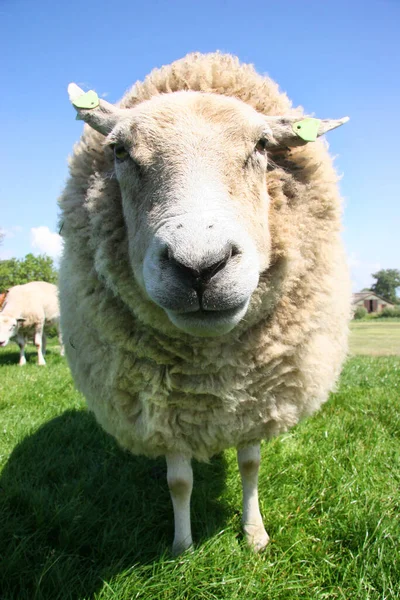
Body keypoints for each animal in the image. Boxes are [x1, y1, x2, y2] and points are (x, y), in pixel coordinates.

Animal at [58, 51, 350, 552]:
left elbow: (251, 465)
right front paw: (182, 548)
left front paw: (254, 534)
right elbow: (179, 482)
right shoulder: (167, 409)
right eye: (120, 151)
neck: (209, 373)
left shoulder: (255, 398)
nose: (199, 267)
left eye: (261, 146)